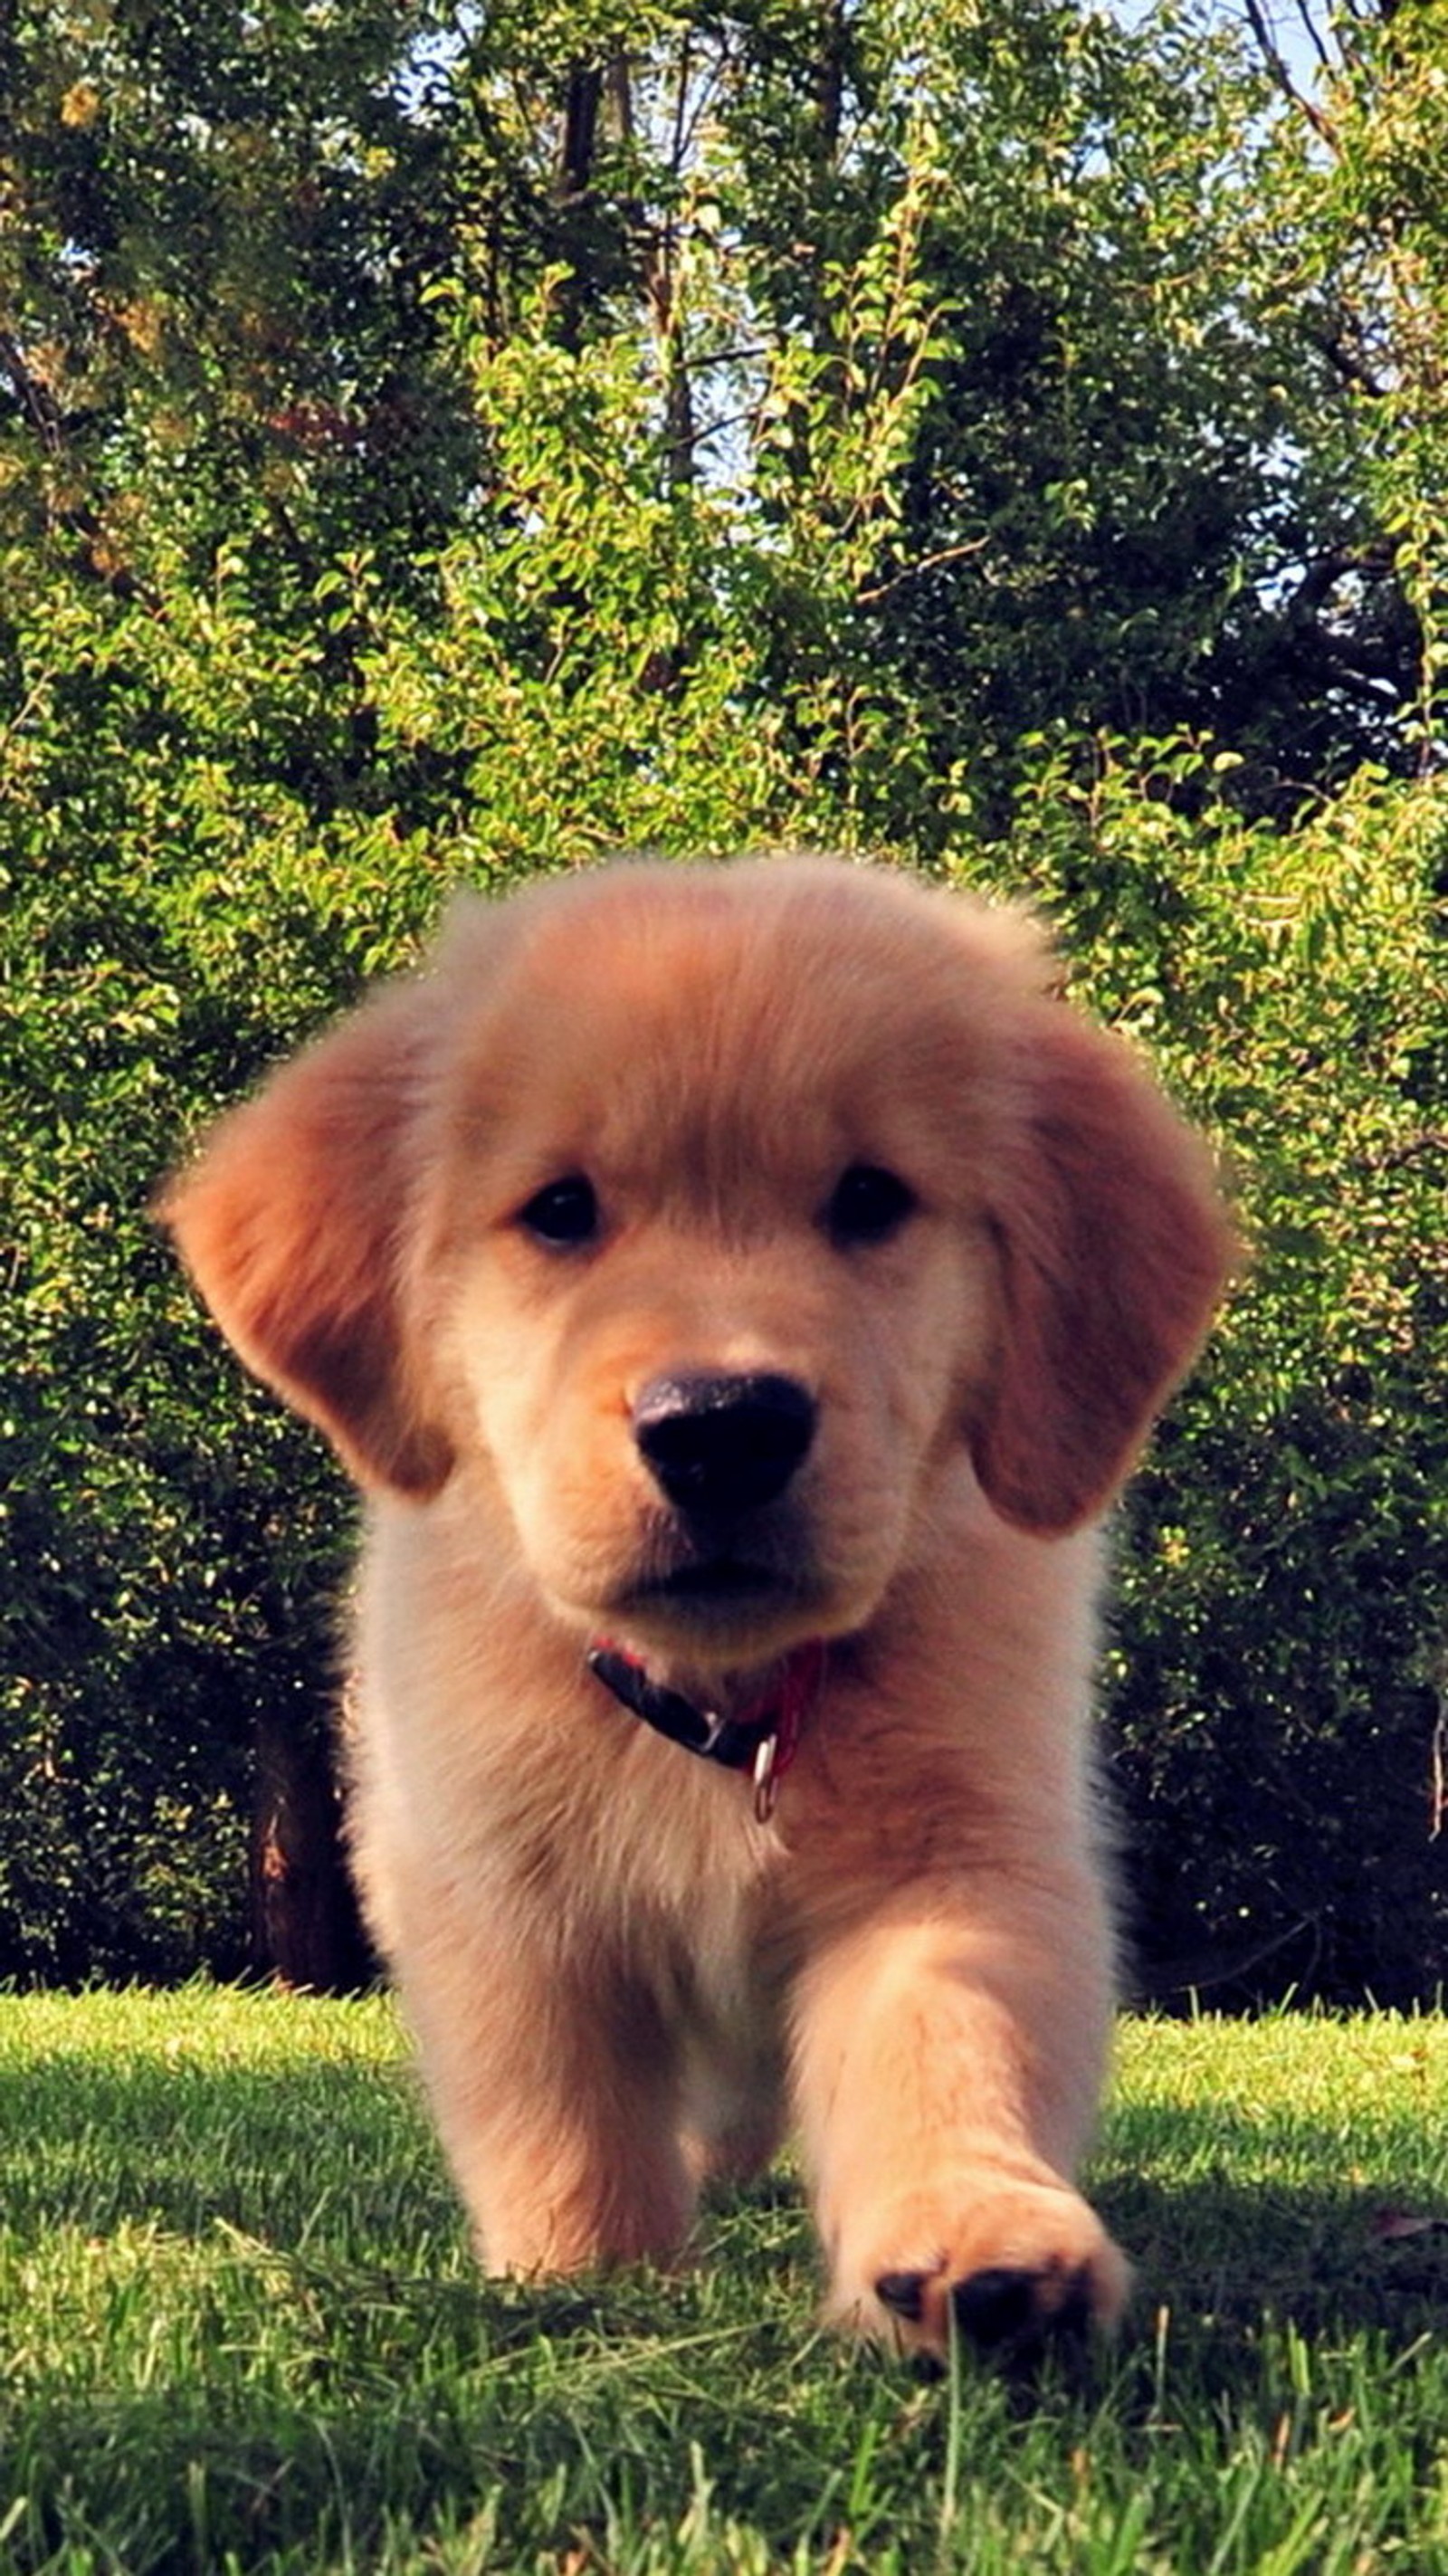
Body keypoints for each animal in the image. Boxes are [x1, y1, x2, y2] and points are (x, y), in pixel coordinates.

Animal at [160, 860, 1226, 2359]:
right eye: (561, 1209)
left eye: (870, 1198)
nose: (722, 1424)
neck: (725, 1700)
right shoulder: (493, 1876)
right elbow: (560, 2104)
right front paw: (589, 2275)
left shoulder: (961, 1847)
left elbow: (949, 2032)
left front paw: (979, 2229)